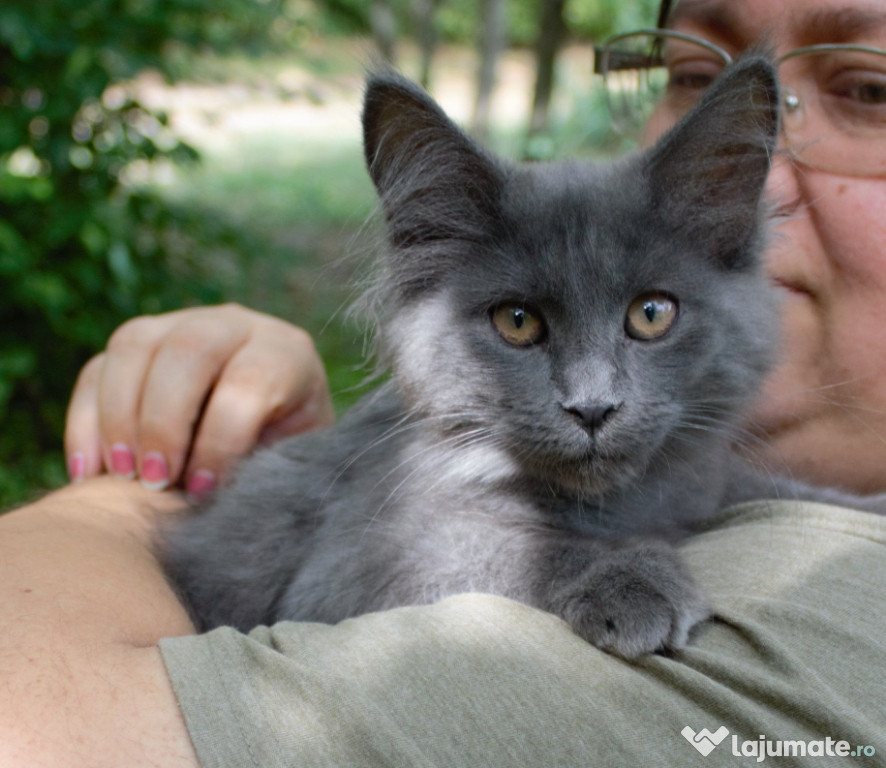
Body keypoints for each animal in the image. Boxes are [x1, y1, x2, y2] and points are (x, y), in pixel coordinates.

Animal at [161, 57, 860, 656]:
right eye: (517, 322)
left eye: (651, 314)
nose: (592, 408)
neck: (620, 506)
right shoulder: (352, 564)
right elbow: (512, 546)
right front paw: (630, 577)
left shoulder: (706, 479)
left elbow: (772, 484)